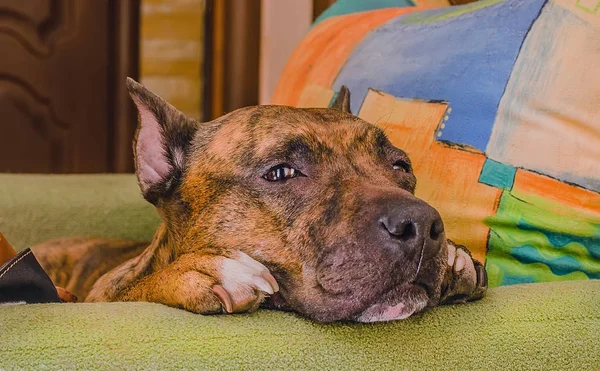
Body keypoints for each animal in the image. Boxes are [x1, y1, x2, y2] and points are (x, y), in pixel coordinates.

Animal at [32, 78, 488, 322]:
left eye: (400, 165)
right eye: (281, 172)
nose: (421, 225)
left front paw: (455, 259)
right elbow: (138, 288)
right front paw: (196, 272)